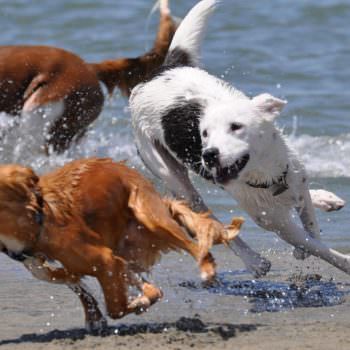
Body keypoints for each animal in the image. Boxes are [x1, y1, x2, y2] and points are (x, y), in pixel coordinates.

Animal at [0, 159, 243, 334]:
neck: (36, 220)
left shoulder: (105, 260)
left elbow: (115, 309)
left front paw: (133, 306)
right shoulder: (54, 269)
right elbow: (79, 286)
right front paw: (95, 316)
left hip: (149, 215)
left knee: (194, 246)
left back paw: (206, 269)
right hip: (127, 248)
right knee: (153, 287)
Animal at [129, 0, 348, 276]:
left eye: (236, 127)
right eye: (204, 134)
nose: (208, 154)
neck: (269, 178)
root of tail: (158, 73)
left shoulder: (296, 182)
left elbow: (310, 223)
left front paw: (308, 239)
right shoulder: (280, 225)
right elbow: (318, 247)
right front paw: (336, 259)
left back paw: (325, 199)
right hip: (170, 174)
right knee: (207, 217)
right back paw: (253, 260)